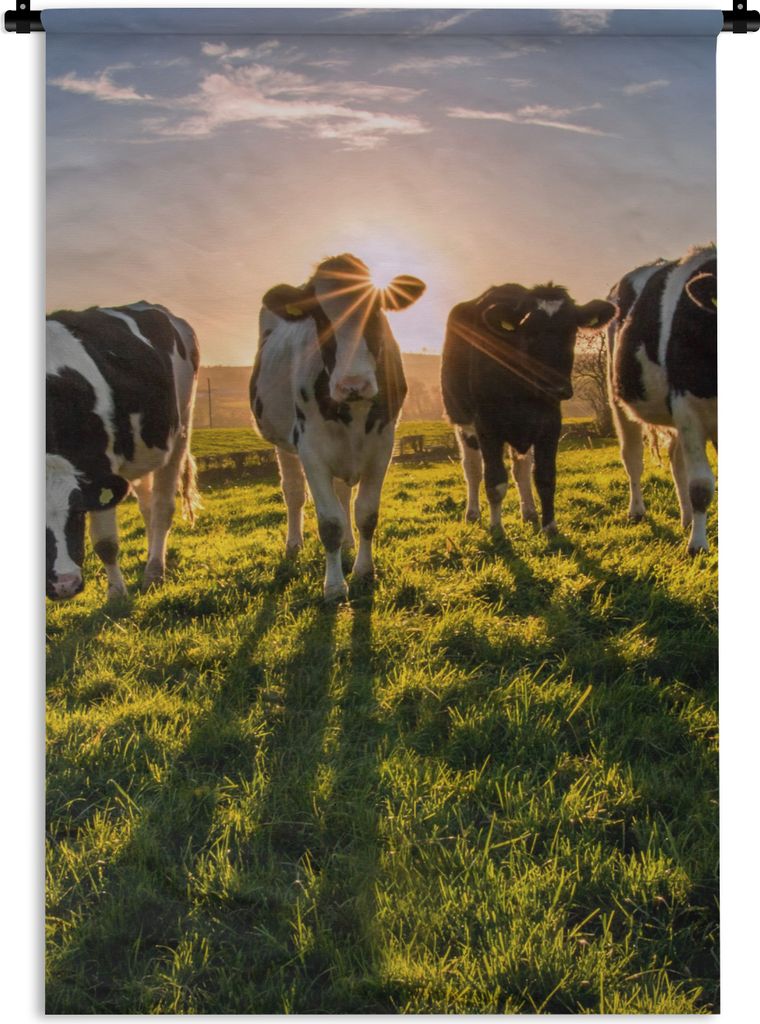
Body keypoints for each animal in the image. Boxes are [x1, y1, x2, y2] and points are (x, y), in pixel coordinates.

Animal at [46, 302, 200, 601]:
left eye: (79, 513)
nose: (64, 585)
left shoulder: (99, 468)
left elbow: (105, 544)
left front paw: (117, 595)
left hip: (180, 429)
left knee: (162, 508)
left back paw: (154, 571)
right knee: (147, 507)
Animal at [250, 253, 425, 600]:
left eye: (376, 310)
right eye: (319, 317)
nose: (352, 384)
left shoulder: (382, 445)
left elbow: (366, 513)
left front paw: (364, 571)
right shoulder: (310, 449)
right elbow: (330, 522)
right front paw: (333, 586)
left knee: (344, 494)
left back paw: (348, 545)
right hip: (283, 442)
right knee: (293, 493)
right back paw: (294, 545)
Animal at [442, 283, 615, 535]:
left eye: (571, 332)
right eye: (530, 332)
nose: (556, 386)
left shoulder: (550, 424)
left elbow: (544, 478)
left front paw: (549, 526)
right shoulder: (487, 426)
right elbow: (494, 481)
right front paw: (497, 529)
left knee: (521, 470)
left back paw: (530, 512)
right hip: (462, 421)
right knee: (472, 469)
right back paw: (472, 513)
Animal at [607, 244, 717, 554]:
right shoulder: (687, 407)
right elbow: (701, 486)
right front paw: (698, 545)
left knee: (676, 461)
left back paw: (687, 519)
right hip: (618, 401)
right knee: (632, 457)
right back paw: (637, 511)